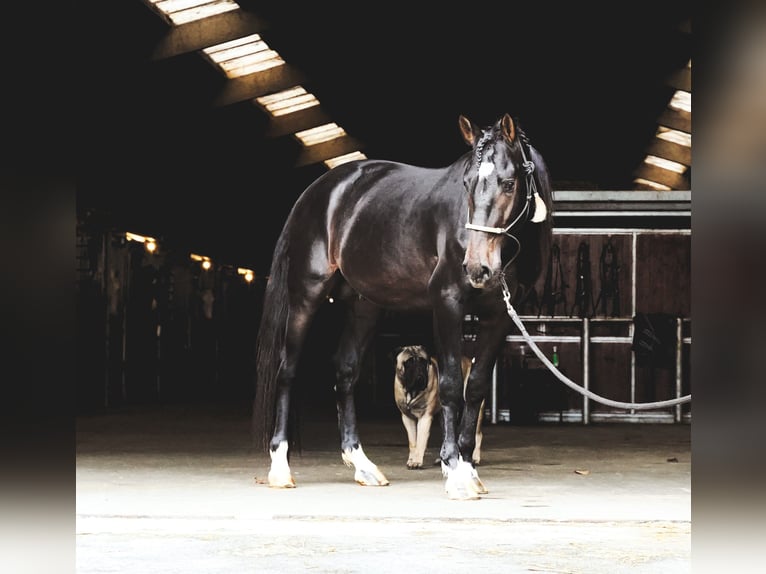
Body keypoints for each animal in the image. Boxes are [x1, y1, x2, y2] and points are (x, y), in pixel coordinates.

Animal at [255, 113, 556, 500]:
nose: (477, 268)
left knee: (345, 371)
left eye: (508, 183)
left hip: (364, 305)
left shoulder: (499, 317)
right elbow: (450, 384)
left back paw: (363, 465)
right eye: (467, 183)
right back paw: (281, 467)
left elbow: (473, 387)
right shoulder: (447, 305)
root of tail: (317, 191)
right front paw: (454, 469)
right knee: (288, 370)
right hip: (307, 293)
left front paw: (469, 470)